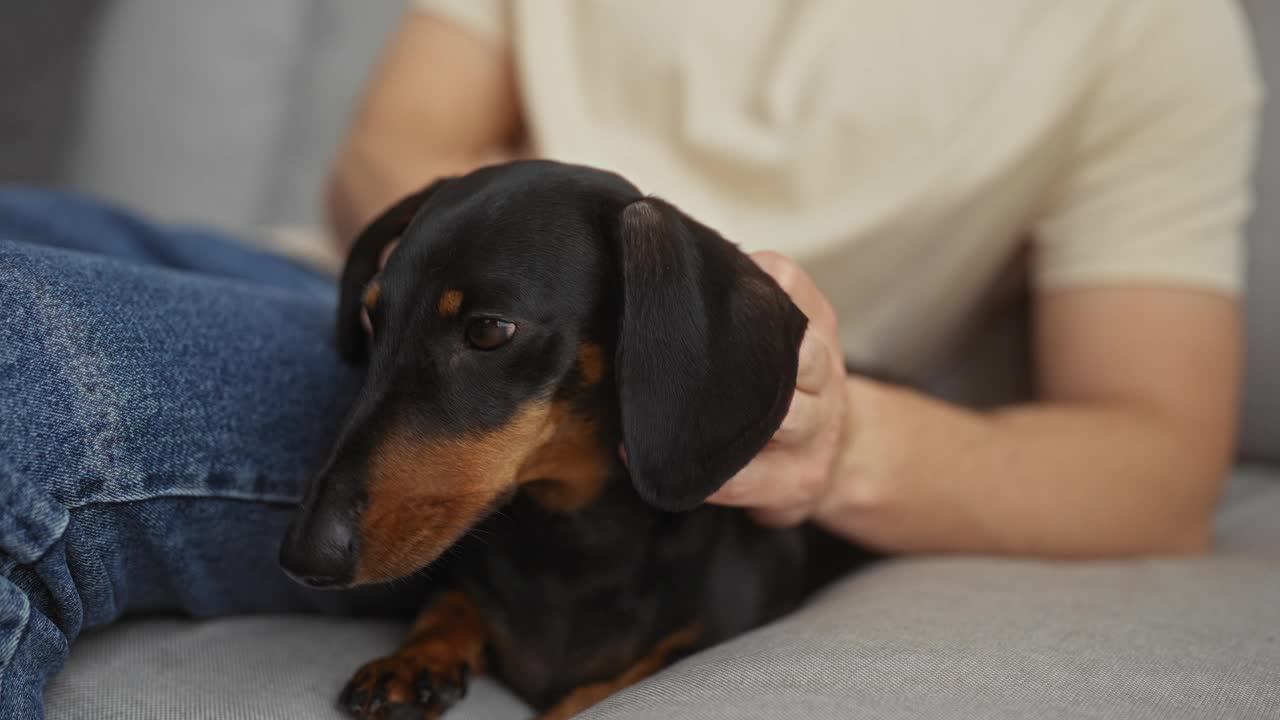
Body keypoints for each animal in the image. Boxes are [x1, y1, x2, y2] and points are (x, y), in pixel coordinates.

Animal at [279, 161, 870, 717]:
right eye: (371, 317)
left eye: (488, 330)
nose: (302, 557)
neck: (574, 547)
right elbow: (452, 603)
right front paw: (414, 661)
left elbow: (609, 686)